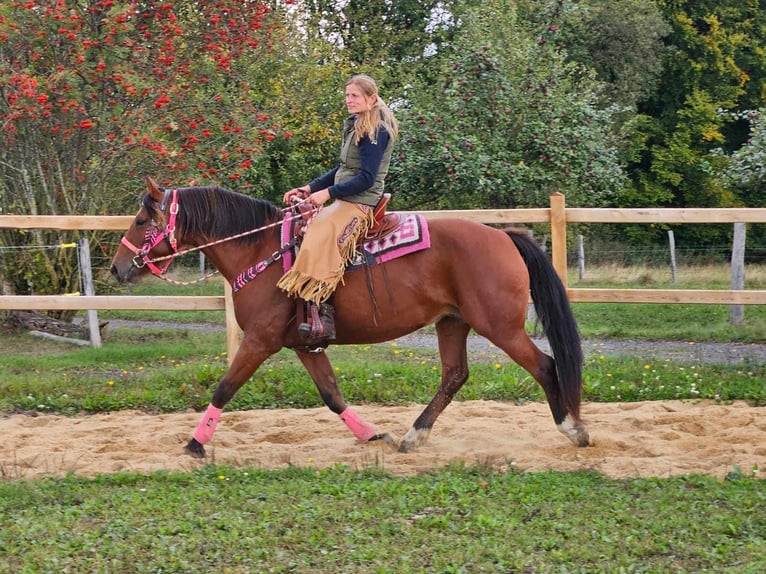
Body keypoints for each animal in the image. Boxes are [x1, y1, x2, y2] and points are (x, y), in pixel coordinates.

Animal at [111, 178, 592, 462]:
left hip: (501, 327)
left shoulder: (260, 341)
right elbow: (331, 394)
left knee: (545, 366)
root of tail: (504, 236)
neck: (261, 250)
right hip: (452, 322)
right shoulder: (304, 344)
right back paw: (412, 437)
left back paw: (573, 429)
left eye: (142, 219)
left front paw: (195, 443)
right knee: (454, 375)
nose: (117, 269)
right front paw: (370, 435)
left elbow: (225, 387)